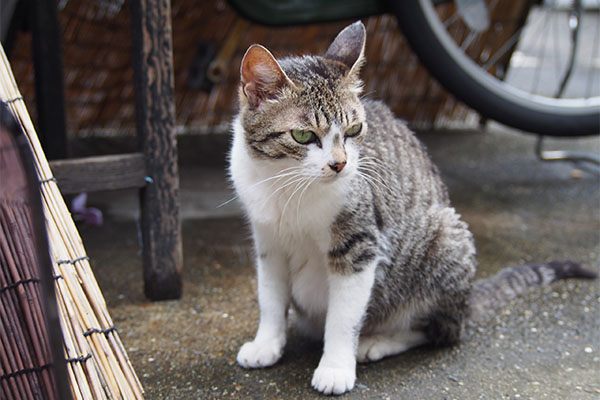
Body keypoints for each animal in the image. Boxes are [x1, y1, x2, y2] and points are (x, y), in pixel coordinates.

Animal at [227, 21, 596, 394]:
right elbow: (271, 298)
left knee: (440, 331)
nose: (340, 164)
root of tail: (466, 302)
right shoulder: (268, 242)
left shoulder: (360, 245)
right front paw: (267, 345)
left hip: (446, 241)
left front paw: (335, 367)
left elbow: (344, 317)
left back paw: (378, 342)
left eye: (354, 129)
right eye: (303, 136)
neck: (286, 185)